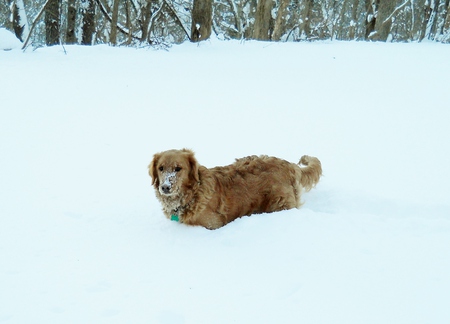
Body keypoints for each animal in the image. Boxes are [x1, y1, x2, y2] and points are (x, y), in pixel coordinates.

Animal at [149, 148, 322, 229]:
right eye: (161, 168)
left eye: (178, 168)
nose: (165, 187)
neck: (192, 195)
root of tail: (289, 165)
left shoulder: (213, 225)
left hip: (279, 203)